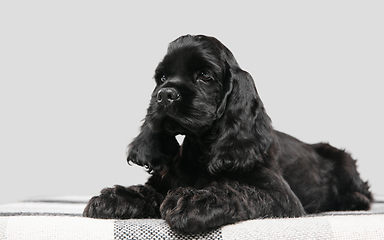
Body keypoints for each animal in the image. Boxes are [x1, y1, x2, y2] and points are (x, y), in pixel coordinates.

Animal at [83, 34, 372, 233]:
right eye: (161, 78)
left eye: (204, 75)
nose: (164, 95)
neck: (201, 149)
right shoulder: (165, 181)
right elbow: (149, 191)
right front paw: (115, 198)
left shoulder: (281, 196)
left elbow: (234, 189)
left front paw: (193, 201)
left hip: (343, 159)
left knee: (365, 192)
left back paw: (351, 199)